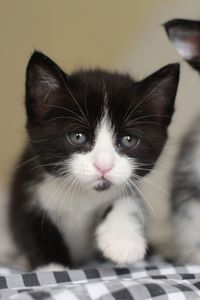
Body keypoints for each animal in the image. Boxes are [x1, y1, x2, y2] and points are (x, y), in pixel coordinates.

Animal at [9, 51, 180, 270]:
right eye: (78, 137)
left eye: (129, 140)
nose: (104, 166)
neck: (83, 196)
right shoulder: (27, 189)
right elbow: (33, 231)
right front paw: (53, 268)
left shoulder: (128, 184)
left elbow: (128, 200)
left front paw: (123, 241)